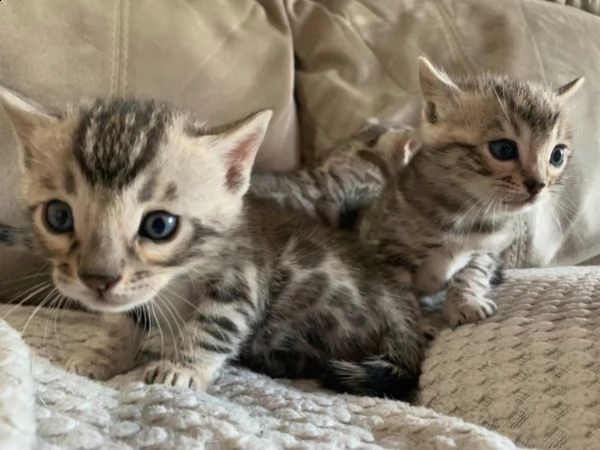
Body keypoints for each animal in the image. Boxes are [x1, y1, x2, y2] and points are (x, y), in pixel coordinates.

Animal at [0, 88, 426, 400]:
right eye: (59, 216)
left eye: (159, 225)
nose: (97, 279)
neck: (175, 278)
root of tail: (407, 318)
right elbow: (125, 319)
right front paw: (102, 354)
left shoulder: (243, 278)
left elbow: (215, 324)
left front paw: (181, 368)